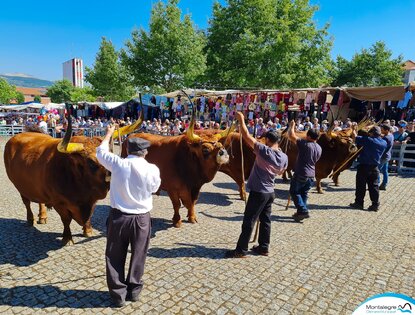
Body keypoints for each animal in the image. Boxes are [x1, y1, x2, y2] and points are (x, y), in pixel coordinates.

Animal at [3, 117, 109, 246]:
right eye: (91, 162)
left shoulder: (92, 201)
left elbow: (89, 217)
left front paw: (88, 230)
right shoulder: (58, 202)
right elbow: (66, 219)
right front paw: (67, 238)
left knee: (40, 201)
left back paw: (42, 216)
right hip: (20, 187)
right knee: (27, 203)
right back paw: (30, 219)